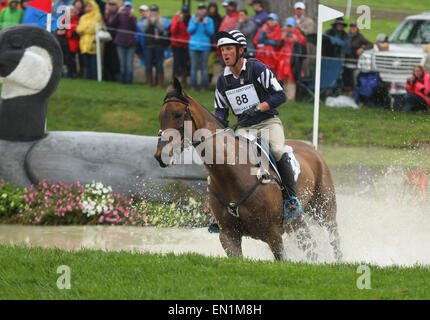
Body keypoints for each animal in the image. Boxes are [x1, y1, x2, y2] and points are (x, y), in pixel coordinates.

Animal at [155, 79, 342, 262]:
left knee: (334, 240)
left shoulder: (273, 234)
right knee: (310, 247)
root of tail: (312, 149)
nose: (160, 156)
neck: (231, 175)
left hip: (325, 209)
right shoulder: (228, 236)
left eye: (177, 114)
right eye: (160, 116)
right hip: (296, 222)